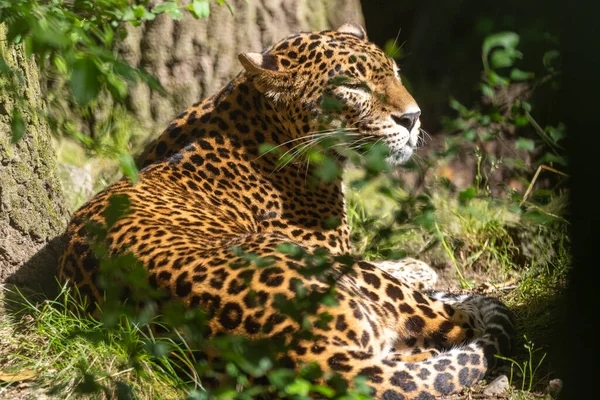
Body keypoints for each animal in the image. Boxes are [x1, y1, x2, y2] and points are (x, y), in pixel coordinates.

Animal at [59, 22, 516, 400]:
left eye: (395, 74)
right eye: (354, 86)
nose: (413, 117)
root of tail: (308, 355)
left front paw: (414, 265)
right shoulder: (335, 249)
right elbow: (382, 263)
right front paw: (418, 268)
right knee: (455, 324)